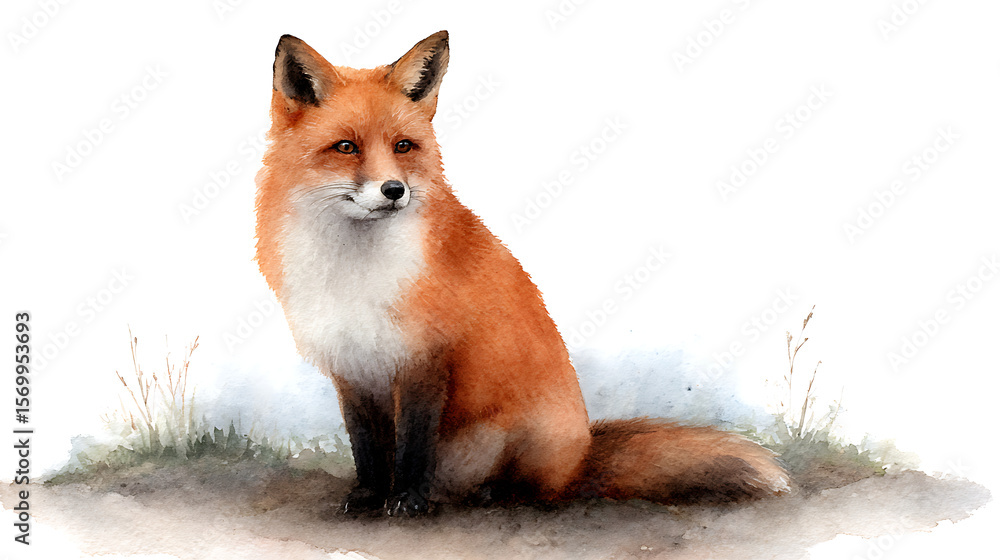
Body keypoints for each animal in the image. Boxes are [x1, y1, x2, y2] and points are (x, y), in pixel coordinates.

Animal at [255, 30, 791, 516]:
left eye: (403, 146)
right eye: (346, 147)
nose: (394, 190)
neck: (353, 270)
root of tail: (584, 452)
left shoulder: (427, 358)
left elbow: (412, 447)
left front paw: (406, 502)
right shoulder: (352, 368)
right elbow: (367, 448)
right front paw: (367, 497)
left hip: (521, 436)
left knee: (542, 491)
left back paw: (489, 495)